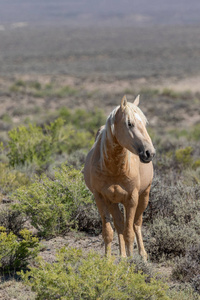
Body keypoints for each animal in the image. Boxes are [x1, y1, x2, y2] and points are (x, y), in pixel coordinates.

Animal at [83, 96, 155, 260]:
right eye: (129, 123)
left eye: (145, 123)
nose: (149, 152)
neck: (114, 169)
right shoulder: (101, 198)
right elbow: (109, 232)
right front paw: (109, 261)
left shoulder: (132, 198)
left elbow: (129, 233)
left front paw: (132, 261)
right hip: (113, 202)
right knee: (119, 224)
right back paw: (122, 256)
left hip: (144, 195)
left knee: (136, 224)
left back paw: (142, 255)